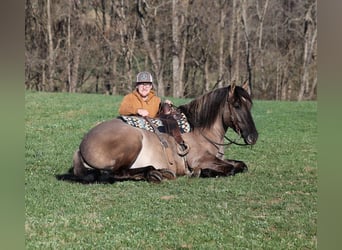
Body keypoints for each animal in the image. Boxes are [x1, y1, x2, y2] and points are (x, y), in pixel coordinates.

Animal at [57, 83, 258, 183]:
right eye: (237, 105)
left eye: (250, 105)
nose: (253, 137)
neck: (201, 131)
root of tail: (81, 146)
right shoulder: (200, 160)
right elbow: (230, 169)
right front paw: (203, 172)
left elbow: (241, 165)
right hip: (133, 143)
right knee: (116, 173)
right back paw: (154, 173)